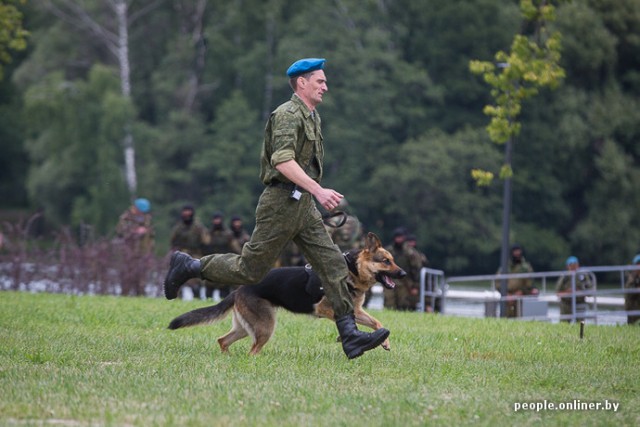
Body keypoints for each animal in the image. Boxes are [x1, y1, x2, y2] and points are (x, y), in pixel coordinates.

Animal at [169, 232, 404, 356]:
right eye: (386, 261)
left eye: (393, 260)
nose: (404, 273)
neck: (352, 270)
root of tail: (239, 289)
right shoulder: (326, 308)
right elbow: (352, 320)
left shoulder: (355, 309)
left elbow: (377, 322)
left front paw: (383, 341)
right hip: (266, 326)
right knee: (252, 350)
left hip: (246, 327)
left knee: (223, 340)